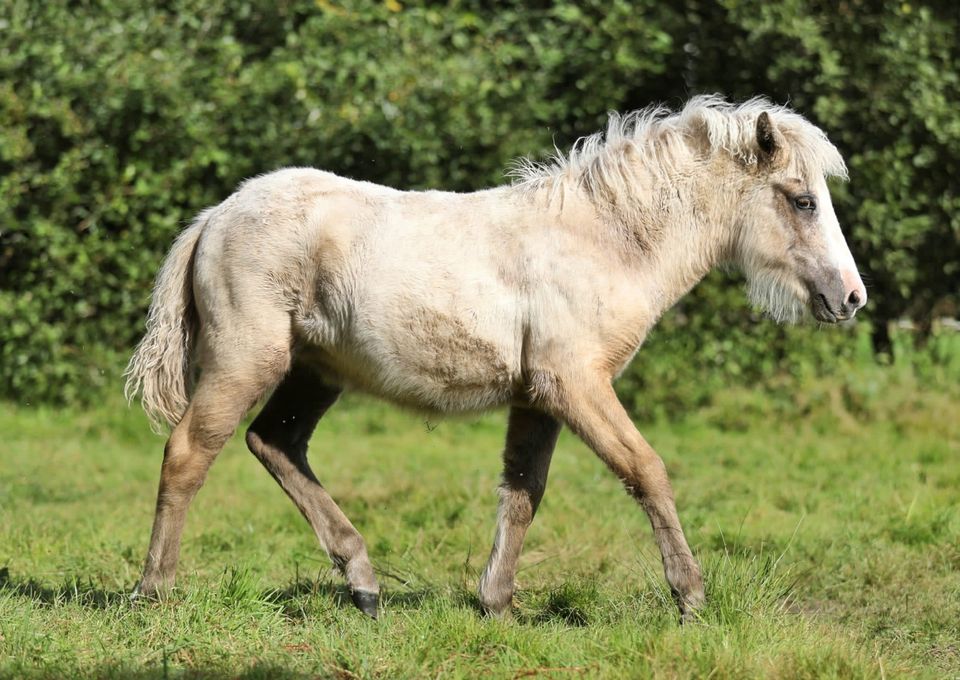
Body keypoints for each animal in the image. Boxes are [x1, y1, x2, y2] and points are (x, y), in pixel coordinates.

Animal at [124, 94, 868, 620]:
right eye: (803, 201)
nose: (852, 297)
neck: (601, 242)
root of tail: (215, 217)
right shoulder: (576, 384)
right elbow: (646, 471)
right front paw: (690, 597)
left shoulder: (538, 398)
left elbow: (522, 493)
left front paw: (496, 604)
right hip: (244, 360)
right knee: (189, 453)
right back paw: (155, 590)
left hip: (315, 371)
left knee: (275, 443)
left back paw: (364, 583)